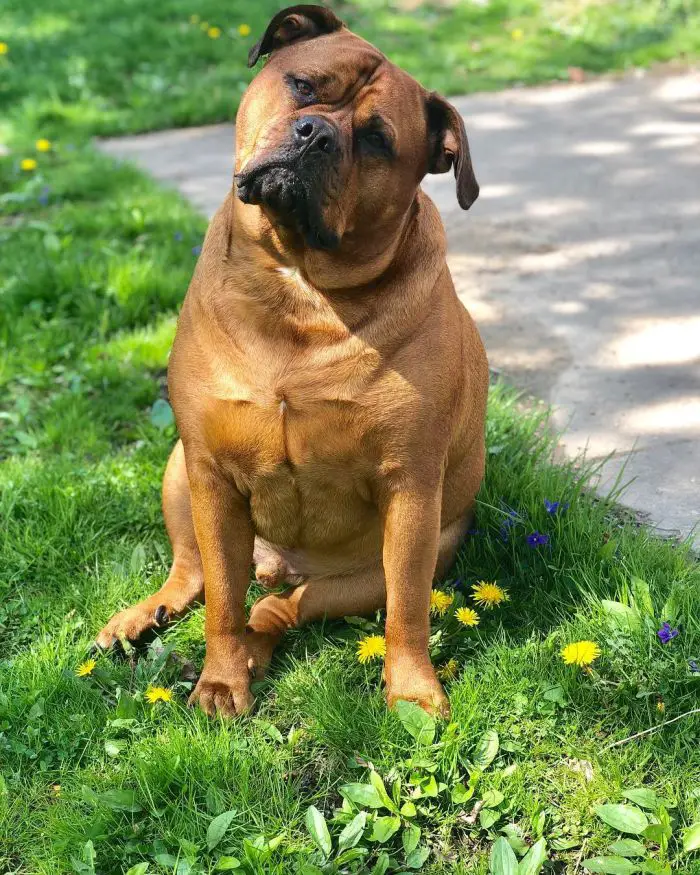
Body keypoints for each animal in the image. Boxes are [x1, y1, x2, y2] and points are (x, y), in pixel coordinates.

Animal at [97, 5, 486, 720]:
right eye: (303, 86)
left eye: (378, 139)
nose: (316, 135)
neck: (299, 286)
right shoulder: (212, 475)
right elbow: (221, 601)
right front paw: (220, 683)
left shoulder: (411, 493)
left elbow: (408, 612)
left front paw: (414, 692)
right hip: (179, 472)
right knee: (197, 575)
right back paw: (145, 618)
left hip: (391, 561)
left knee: (281, 608)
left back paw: (258, 644)